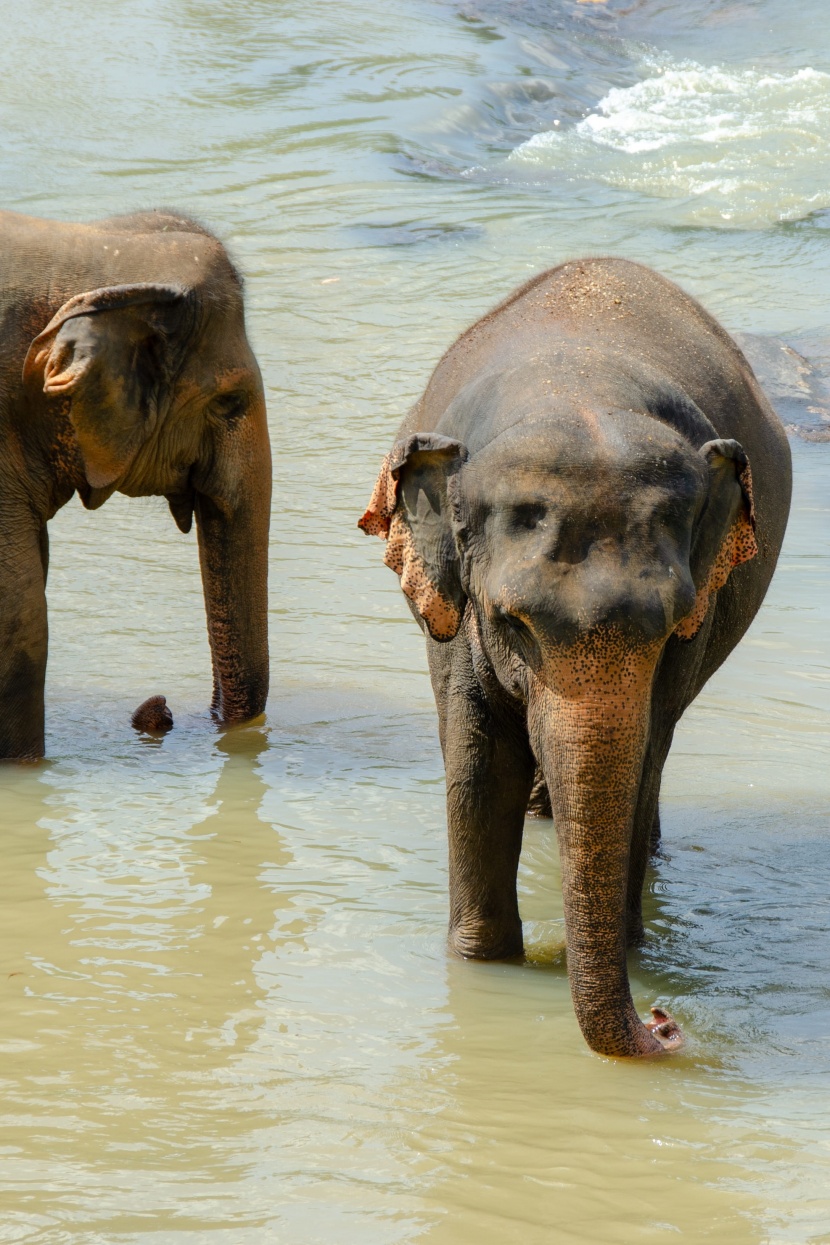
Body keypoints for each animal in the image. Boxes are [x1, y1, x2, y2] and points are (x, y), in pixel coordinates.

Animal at [360, 257, 791, 1055]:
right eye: (512, 621)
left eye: (671, 625)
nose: (664, 1020)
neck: (577, 394)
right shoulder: (459, 611)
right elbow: (478, 758)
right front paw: (483, 961)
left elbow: (644, 752)